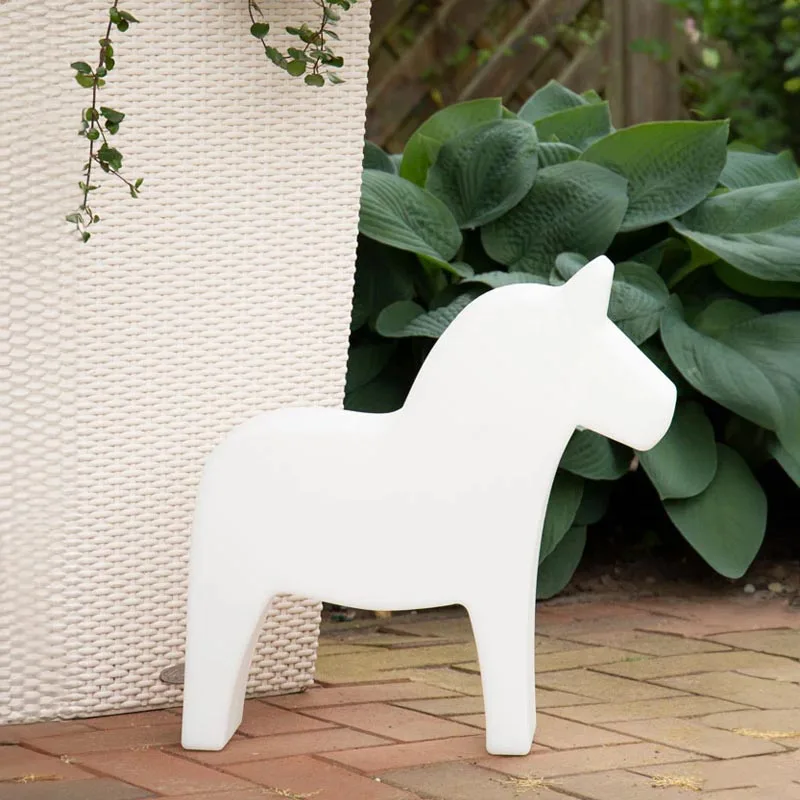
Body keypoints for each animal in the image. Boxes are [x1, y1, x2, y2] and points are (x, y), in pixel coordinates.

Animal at [180, 255, 677, 756]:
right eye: (612, 351)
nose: (672, 403)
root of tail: (219, 458)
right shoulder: (494, 590)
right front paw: (510, 747)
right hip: (233, 586)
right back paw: (204, 741)